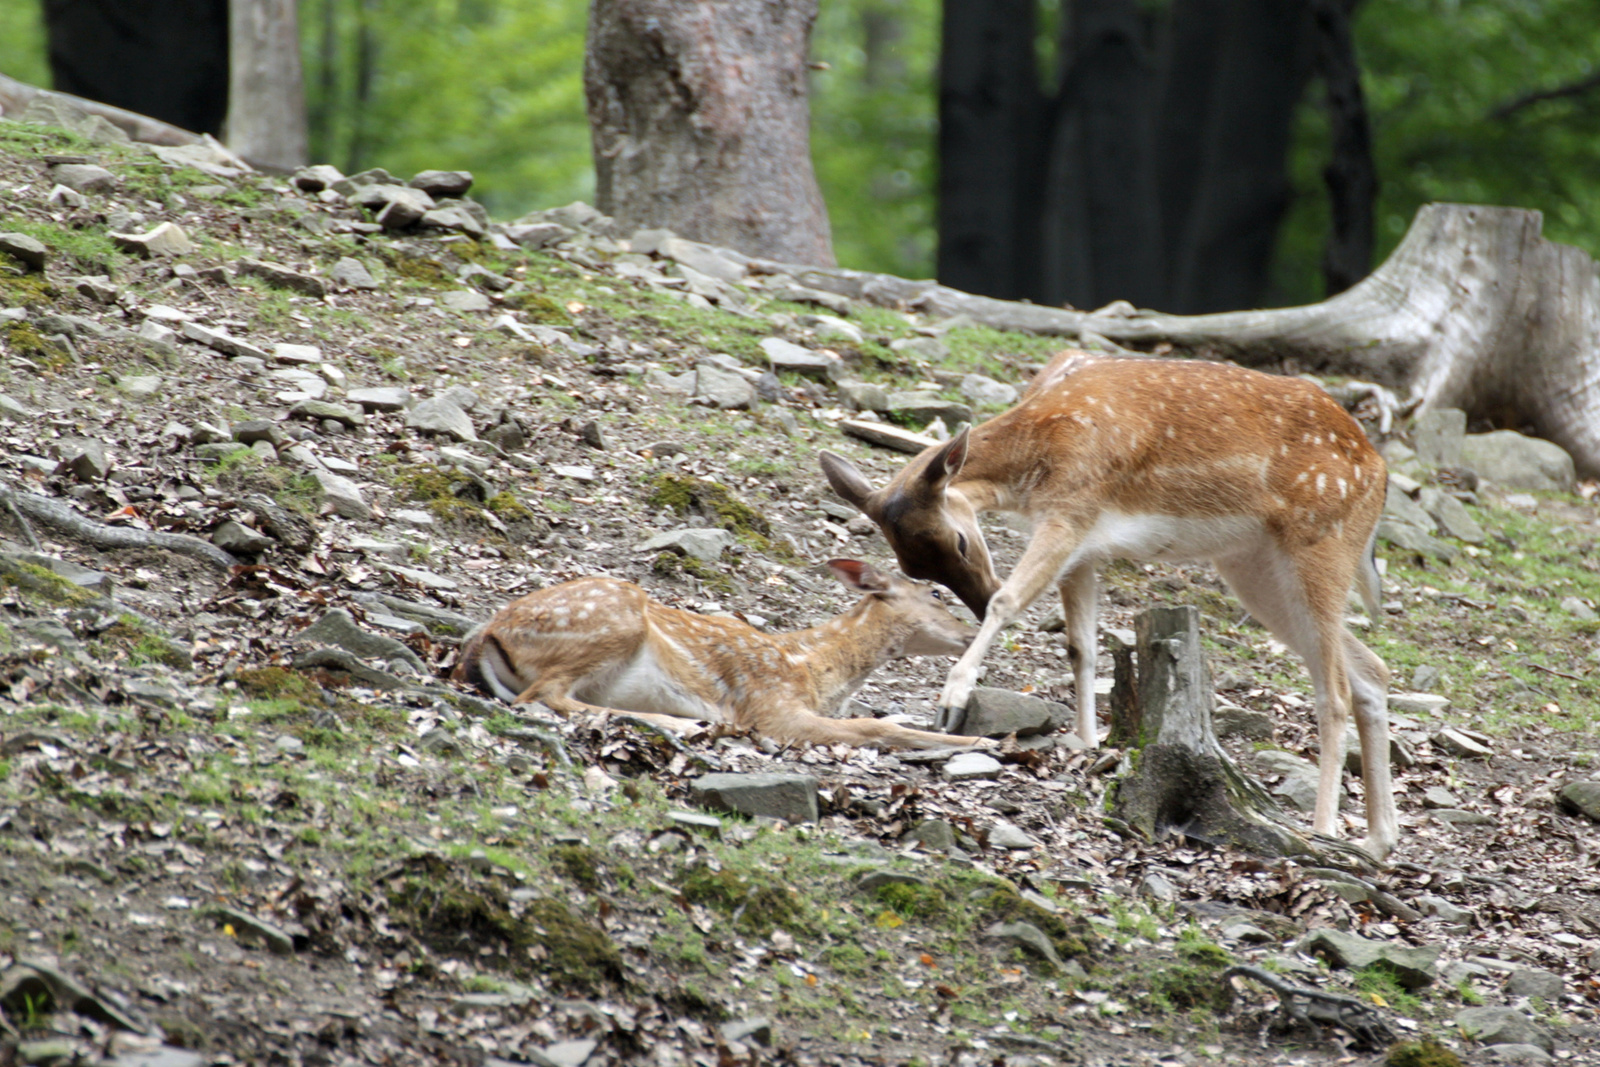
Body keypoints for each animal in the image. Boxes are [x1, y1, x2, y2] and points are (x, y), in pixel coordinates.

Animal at [451, 559, 992, 751]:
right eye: (937, 594)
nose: (973, 631)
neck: (813, 669)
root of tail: (488, 635)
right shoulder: (771, 704)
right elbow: (872, 728)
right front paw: (986, 744)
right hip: (614, 619)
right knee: (546, 696)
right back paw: (687, 723)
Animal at [819, 350, 1395, 857]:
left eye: (959, 541)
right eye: (916, 569)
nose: (974, 603)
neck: (1031, 466)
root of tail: (1380, 471)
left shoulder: (1073, 509)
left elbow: (1011, 600)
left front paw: (953, 700)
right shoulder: (1084, 547)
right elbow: (1082, 646)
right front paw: (1087, 741)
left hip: (1321, 540)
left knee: (1335, 690)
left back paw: (1325, 829)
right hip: (1251, 564)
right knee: (1371, 668)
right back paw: (1379, 839)